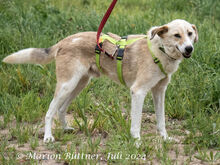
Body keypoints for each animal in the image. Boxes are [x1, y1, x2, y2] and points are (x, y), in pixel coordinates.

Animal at [2, 19, 198, 142]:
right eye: (177, 35)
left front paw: (165, 138)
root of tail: (65, 40)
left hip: (79, 84)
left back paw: (65, 129)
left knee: (61, 108)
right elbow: (136, 123)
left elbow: (161, 120)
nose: (189, 48)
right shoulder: (138, 92)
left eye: (190, 33)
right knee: (50, 111)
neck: (159, 51)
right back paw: (48, 137)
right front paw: (136, 141)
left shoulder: (159, 92)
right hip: (67, 85)